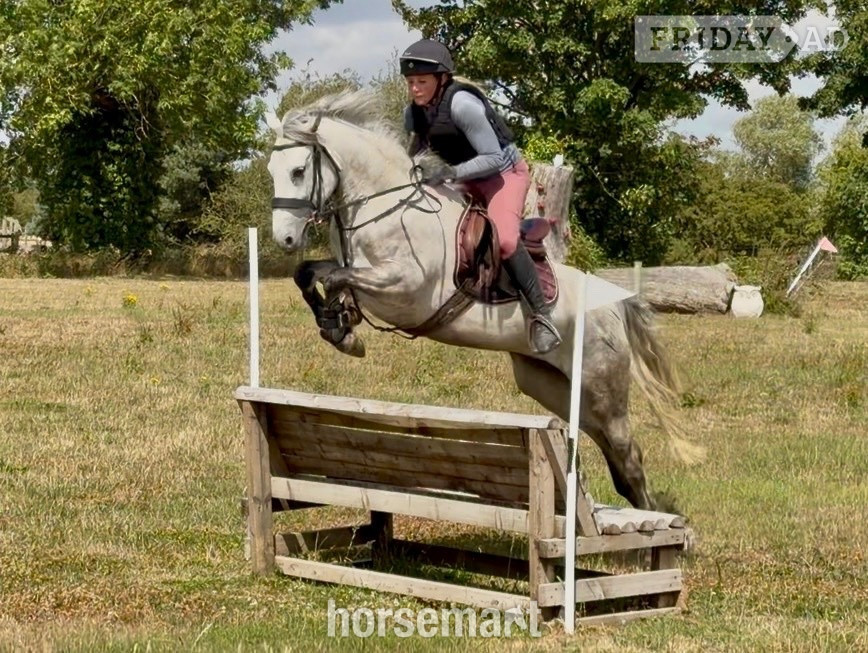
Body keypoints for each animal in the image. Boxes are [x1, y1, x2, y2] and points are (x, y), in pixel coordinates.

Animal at [264, 89, 703, 512]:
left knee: (627, 454)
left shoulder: (405, 288)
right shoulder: (359, 272)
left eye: (298, 172)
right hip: (552, 384)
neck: (382, 205)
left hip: (601, 383)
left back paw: (656, 517)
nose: (284, 238)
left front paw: (343, 324)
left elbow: (337, 276)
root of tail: (614, 304)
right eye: (271, 171)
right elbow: (310, 273)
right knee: (608, 446)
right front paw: (340, 325)